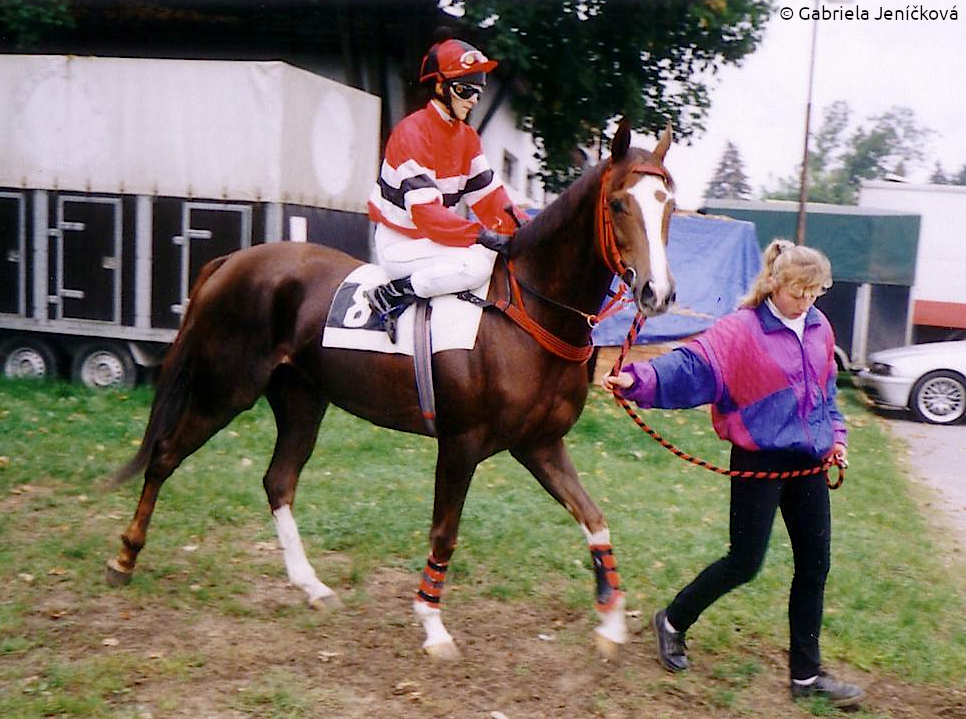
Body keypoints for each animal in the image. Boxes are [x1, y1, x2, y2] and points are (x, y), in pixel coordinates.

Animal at [105, 118, 676, 660]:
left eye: (669, 203)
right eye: (619, 203)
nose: (658, 292)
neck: (525, 312)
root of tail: (234, 260)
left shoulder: (539, 444)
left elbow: (594, 518)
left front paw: (610, 622)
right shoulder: (461, 444)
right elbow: (444, 533)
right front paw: (432, 625)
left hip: (301, 401)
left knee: (278, 481)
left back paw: (312, 586)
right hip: (226, 388)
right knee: (165, 454)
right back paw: (125, 557)